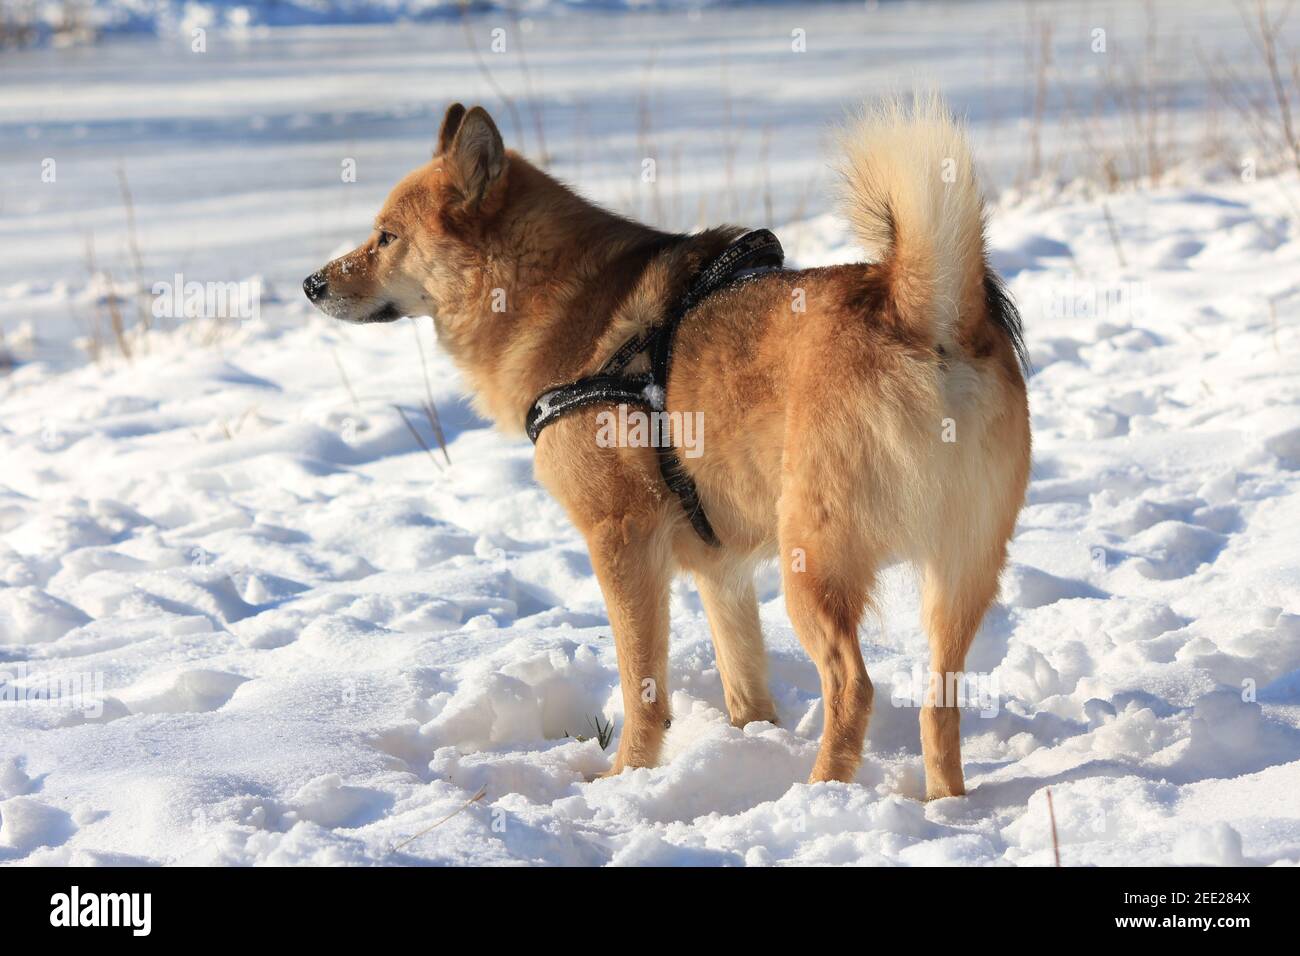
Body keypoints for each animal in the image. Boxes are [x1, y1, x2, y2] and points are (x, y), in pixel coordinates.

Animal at [301, 95, 1024, 801]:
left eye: (386, 236)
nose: (311, 283)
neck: (551, 300)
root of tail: (916, 308)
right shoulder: (721, 570)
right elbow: (744, 682)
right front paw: (747, 742)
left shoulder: (620, 540)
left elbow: (641, 686)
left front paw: (625, 776)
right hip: (959, 575)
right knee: (941, 700)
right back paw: (943, 805)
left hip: (813, 566)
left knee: (854, 687)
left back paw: (819, 796)